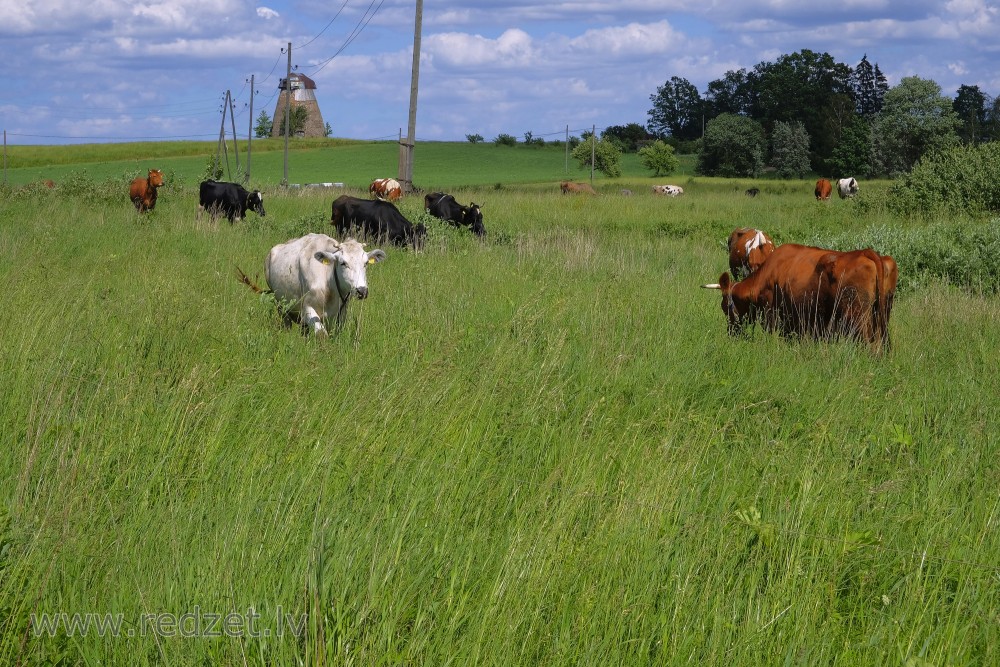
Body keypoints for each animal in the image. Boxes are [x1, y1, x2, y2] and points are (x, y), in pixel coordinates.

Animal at [238, 236, 386, 340]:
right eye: (343, 263)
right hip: (281, 305)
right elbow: (322, 335)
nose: (362, 290)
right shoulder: (308, 309)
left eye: (365, 263)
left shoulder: (340, 314)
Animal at [704, 243, 900, 352]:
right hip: (883, 313)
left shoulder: (773, 315)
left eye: (724, 307)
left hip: (858, 316)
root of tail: (866, 252)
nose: (731, 332)